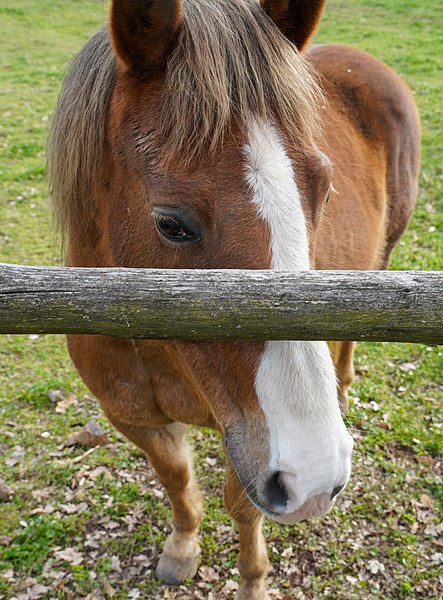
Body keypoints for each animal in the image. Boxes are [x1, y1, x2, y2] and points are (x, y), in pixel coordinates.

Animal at [46, 0, 422, 596]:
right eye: (171, 224)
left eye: (324, 190)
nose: (318, 472)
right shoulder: (133, 417)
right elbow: (176, 476)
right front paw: (182, 546)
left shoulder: (248, 440)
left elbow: (242, 506)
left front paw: (252, 581)